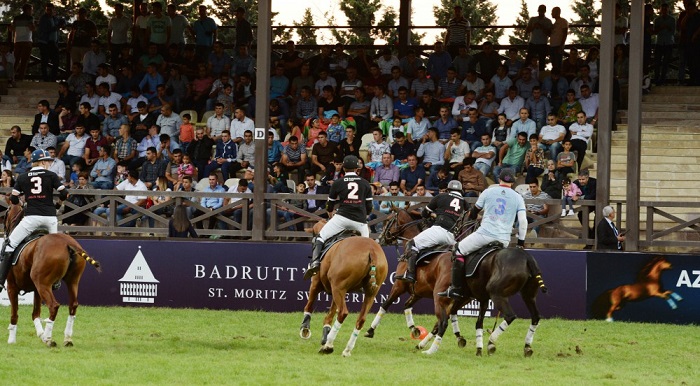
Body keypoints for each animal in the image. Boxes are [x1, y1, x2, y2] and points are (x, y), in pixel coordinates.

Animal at [2, 202, 102, 346]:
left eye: (5, 213)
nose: (4, 231)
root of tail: (68, 243)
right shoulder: (36, 290)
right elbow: (35, 313)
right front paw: (41, 335)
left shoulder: (12, 287)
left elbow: (15, 314)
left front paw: (12, 339)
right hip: (72, 281)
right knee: (73, 305)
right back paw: (67, 338)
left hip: (42, 283)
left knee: (54, 306)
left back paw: (50, 339)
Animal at [300, 220, 392, 356]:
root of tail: (371, 250)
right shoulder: (337, 290)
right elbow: (330, 315)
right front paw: (325, 335)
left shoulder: (317, 284)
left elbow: (310, 305)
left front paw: (305, 329)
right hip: (369, 293)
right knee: (361, 319)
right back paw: (347, 349)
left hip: (338, 288)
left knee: (343, 313)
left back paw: (328, 346)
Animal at [366, 207, 470, 352]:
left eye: (388, 220)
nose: (380, 239)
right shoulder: (418, 292)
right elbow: (406, 306)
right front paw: (414, 329)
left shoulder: (399, 286)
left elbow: (385, 305)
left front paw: (370, 330)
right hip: (460, 300)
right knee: (443, 321)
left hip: (439, 297)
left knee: (443, 322)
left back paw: (430, 348)